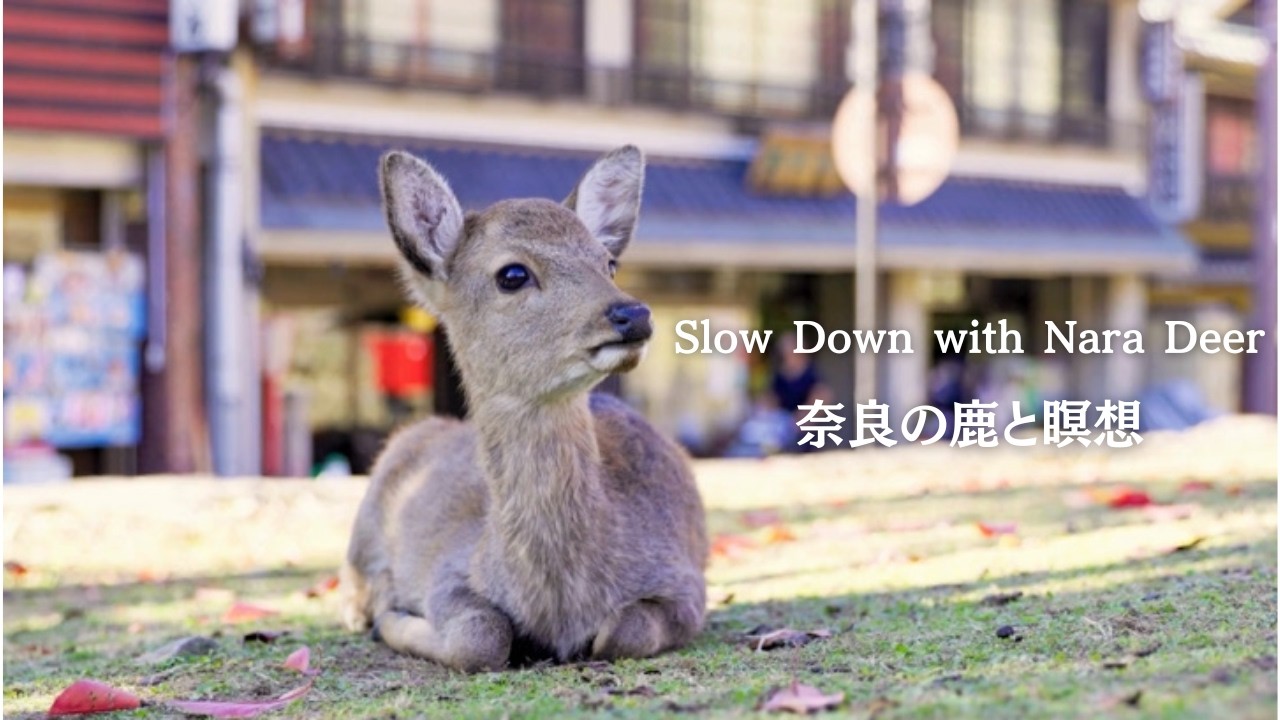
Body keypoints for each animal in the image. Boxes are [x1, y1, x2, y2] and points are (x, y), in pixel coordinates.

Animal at [339, 146, 708, 672]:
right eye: (512, 274)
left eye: (609, 263)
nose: (633, 314)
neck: (559, 601)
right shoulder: (448, 570)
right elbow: (480, 636)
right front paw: (392, 617)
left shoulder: (684, 578)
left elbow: (624, 631)